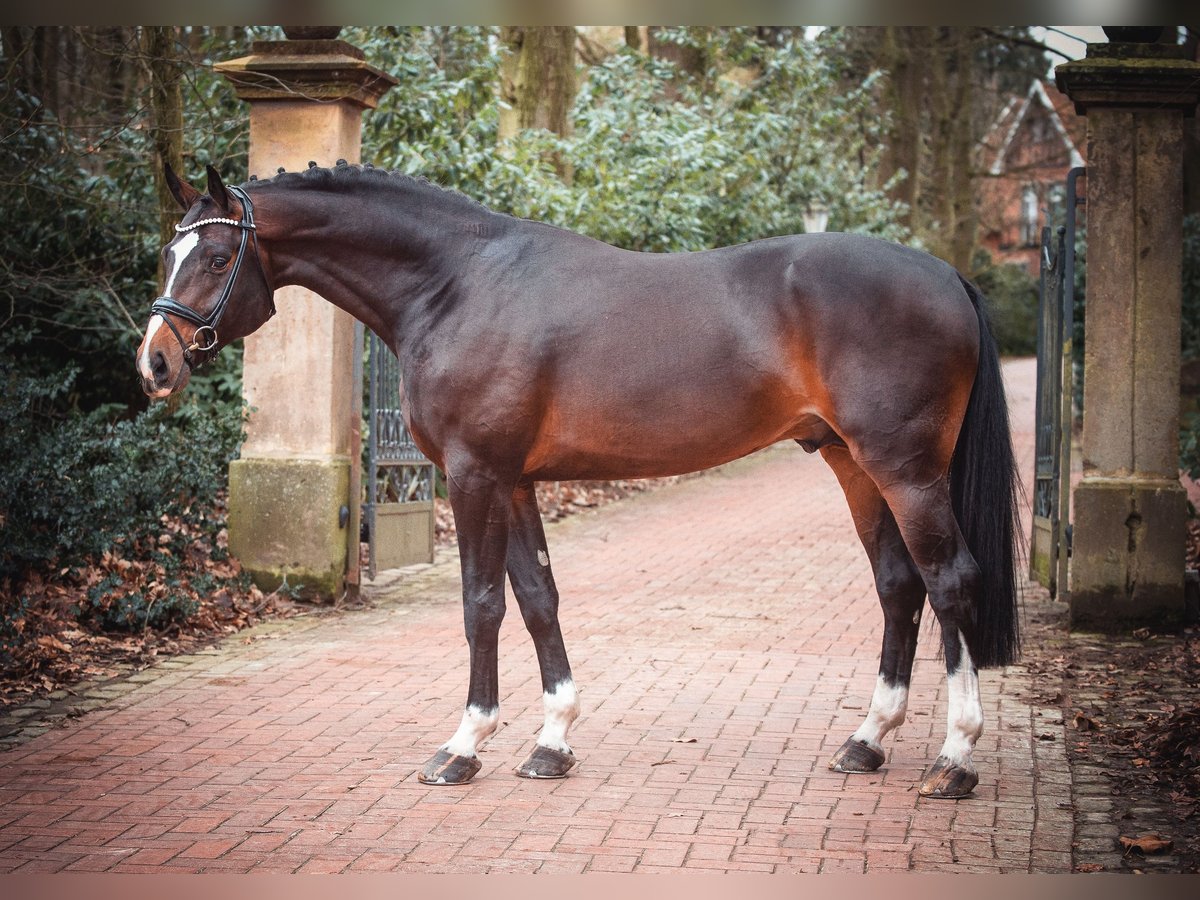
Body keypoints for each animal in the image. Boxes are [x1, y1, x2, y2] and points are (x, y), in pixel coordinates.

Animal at [140, 162, 1022, 796]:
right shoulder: (516, 479)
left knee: (948, 580)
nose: (154, 362)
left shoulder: (474, 474)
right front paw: (552, 743)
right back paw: (867, 741)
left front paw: (464, 746)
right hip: (852, 463)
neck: (455, 285)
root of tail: (946, 274)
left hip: (905, 470)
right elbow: (537, 597)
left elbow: (482, 604)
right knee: (898, 584)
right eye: (167, 253)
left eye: (215, 256)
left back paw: (955, 760)